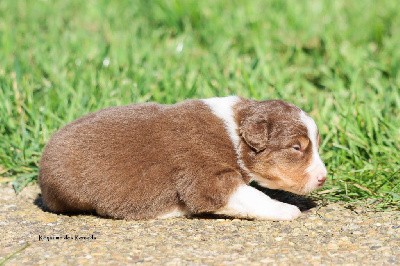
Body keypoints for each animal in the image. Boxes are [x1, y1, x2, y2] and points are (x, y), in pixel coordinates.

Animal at [39, 96, 326, 221]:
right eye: (296, 148)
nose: (323, 177)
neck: (234, 131)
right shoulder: (206, 176)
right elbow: (251, 196)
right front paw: (286, 209)